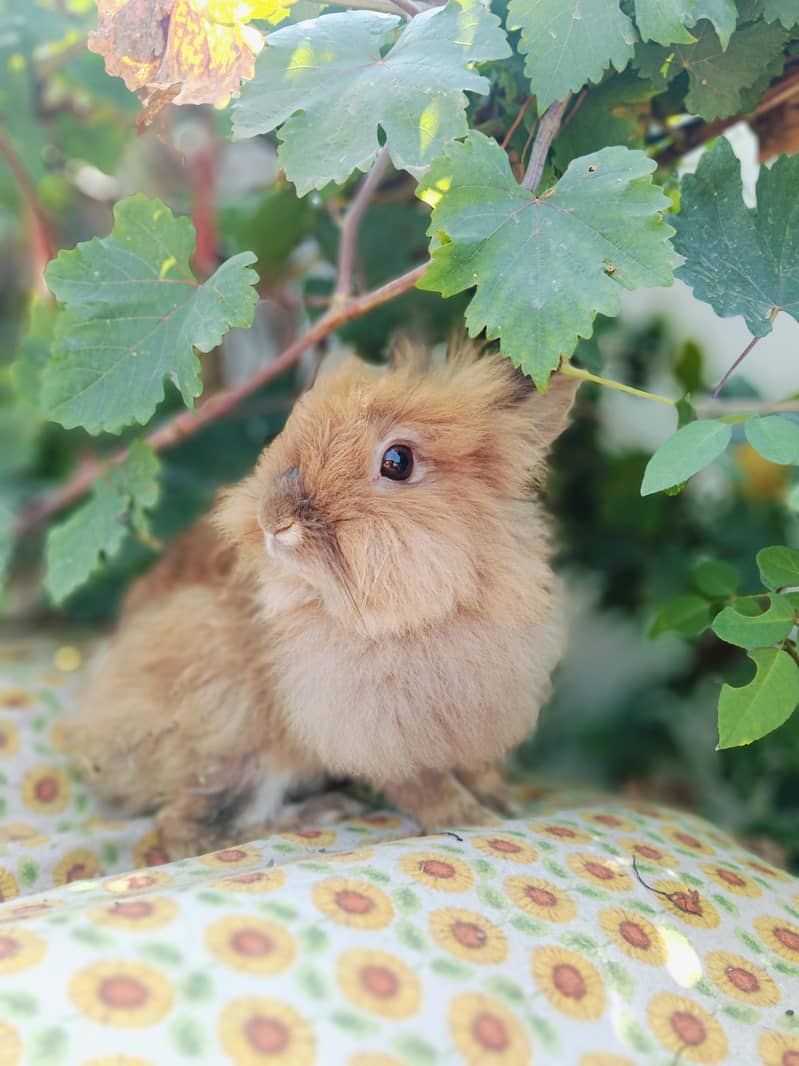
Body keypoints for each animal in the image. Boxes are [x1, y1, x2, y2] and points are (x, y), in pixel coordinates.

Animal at [64, 338, 578, 857]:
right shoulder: (373, 734)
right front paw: (469, 819)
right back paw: (324, 811)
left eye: (398, 462)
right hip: (235, 731)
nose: (272, 517)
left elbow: (468, 766)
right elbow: (422, 785)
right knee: (188, 831)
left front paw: (500, 798)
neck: (418, 612)